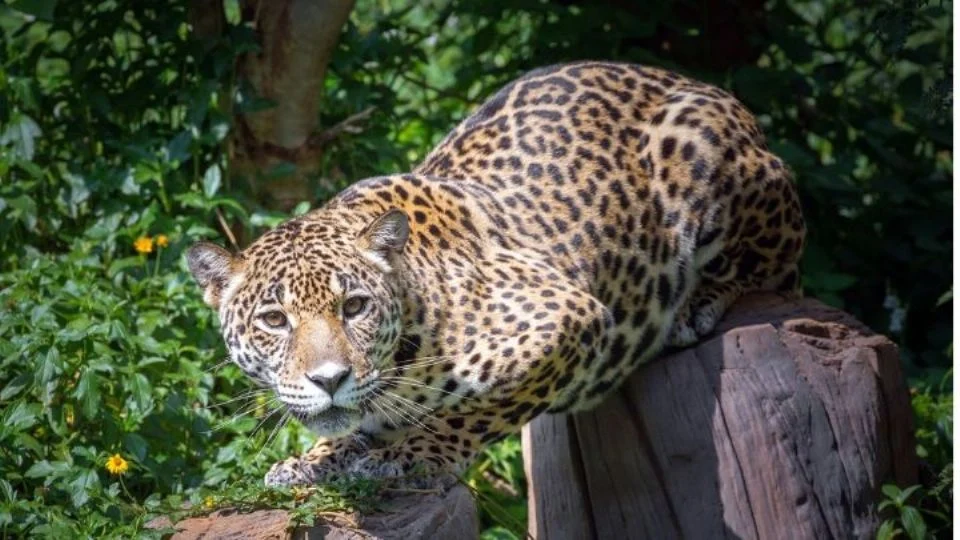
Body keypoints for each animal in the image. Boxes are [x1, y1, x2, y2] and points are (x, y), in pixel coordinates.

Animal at [187, 61, 806, 488]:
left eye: (354, 306)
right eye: (274, 319)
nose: (329, 380)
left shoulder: (568, 318)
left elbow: (479, 410)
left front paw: (414, 454)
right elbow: (348, 431)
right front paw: (312, 462)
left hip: (705, 150)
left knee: (777, 265)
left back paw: (698, 303)